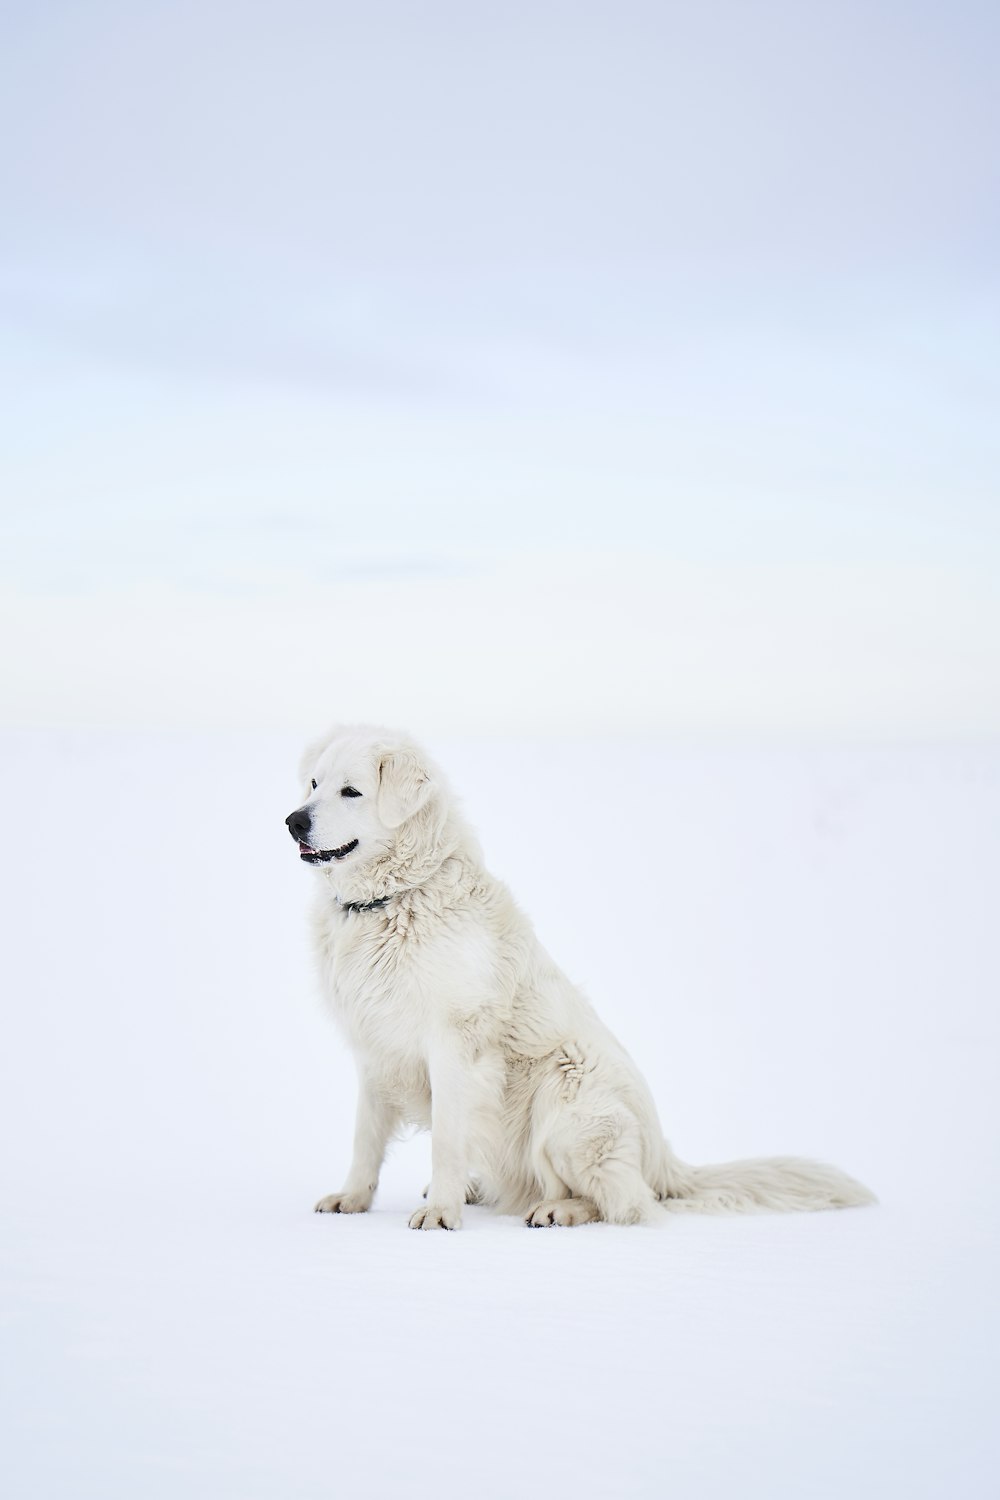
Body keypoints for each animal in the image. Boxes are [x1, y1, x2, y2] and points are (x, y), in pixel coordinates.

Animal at [287, 726, 875, 1230]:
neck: (394, 899)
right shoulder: (374, 1047)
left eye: (352, 791)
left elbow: (447, 1141)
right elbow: (365, 1138)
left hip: (566, 1093)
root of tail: (663, 1158)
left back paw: (557, 1210)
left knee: (625, 1201)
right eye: (314, 784)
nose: (293, 821)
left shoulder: (456, 1046)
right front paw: (353, 1198)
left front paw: (441, 1214)